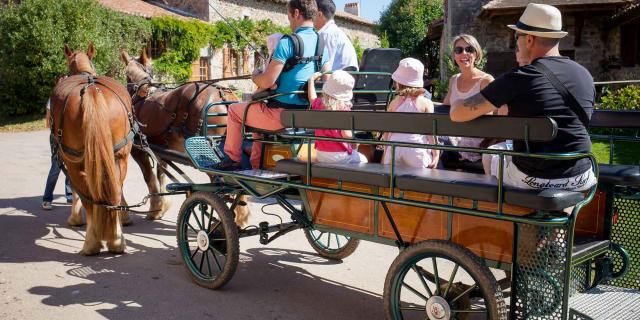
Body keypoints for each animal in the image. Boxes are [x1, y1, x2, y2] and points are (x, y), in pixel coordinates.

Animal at [52, 44, 136, 255]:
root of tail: (91, 90)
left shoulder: (70, 160)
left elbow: (75, 191)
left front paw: (75, 218)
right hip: (120, 156)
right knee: (114, 192)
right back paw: (116, 241)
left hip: (75, 161)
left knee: (89, 198)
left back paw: (91, 243)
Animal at [120, 50, 250, 225]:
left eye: (126, 73)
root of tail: (223, 95)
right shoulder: (162, 149)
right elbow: (161, 174)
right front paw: (161, 208)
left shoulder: (138, 150)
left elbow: (149, 177)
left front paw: (154, 209)